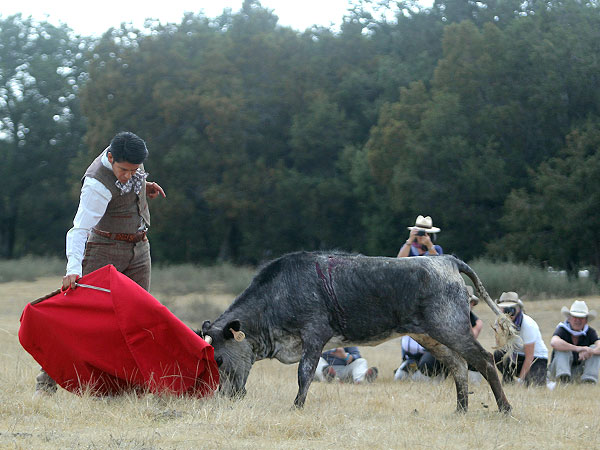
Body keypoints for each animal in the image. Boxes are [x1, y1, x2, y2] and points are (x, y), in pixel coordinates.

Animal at [200, 251, 516, 414]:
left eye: (219, 359)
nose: (224, 396)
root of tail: (447, 260)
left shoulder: (314, 335)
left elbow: (305, 372)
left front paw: (297, 406)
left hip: (451, 327)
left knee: (484, 359)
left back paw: (505, 408)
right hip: (430, 335)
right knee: (458, 364)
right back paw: (460, 409)